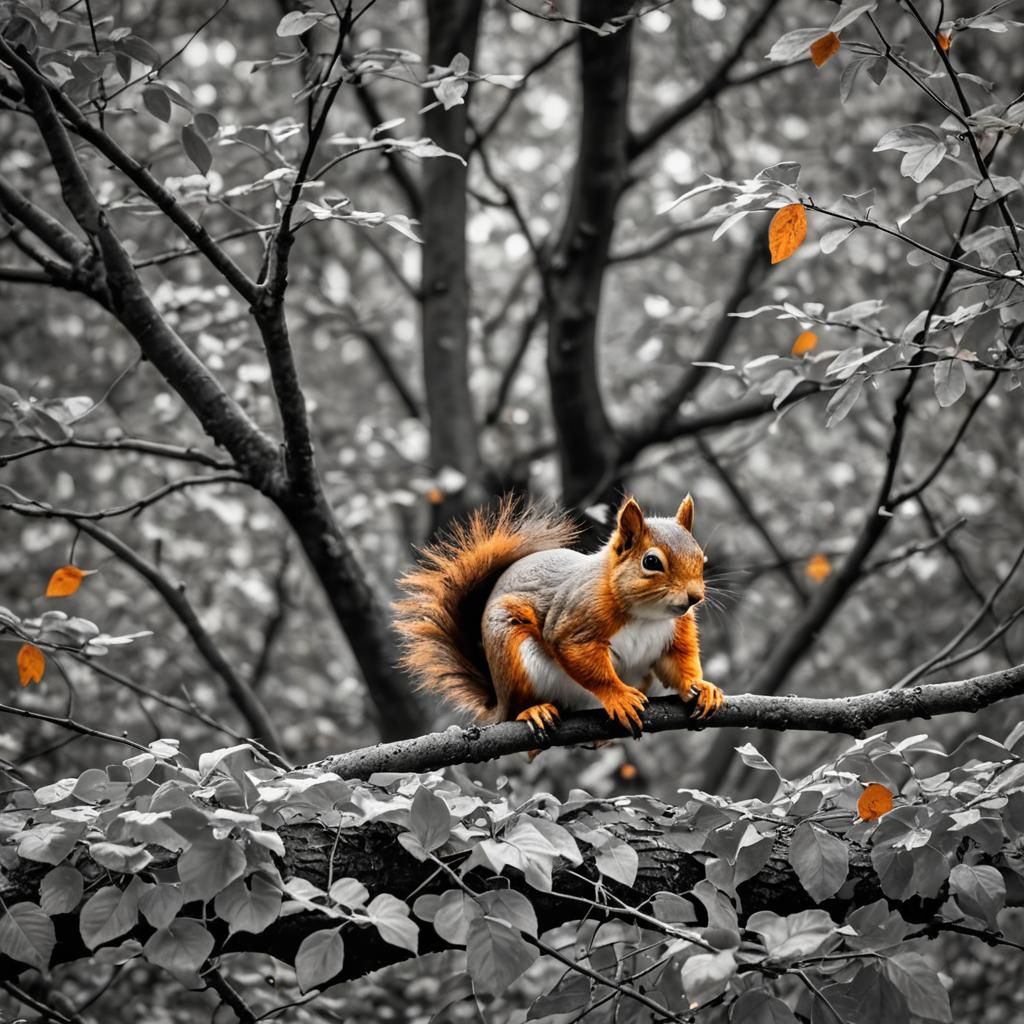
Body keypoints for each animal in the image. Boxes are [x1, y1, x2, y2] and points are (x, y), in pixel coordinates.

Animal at [394, 495, 723, 737]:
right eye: (651, 562)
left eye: (702, 559)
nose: (695, 597)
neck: (646, 615)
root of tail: (498, 702)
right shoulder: (576, 620)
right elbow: (586, 663)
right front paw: (619, 696)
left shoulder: (676, 630)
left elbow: (678, 663)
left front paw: (701, 687)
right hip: (512, 652)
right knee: (517, 709)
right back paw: (534, 711)